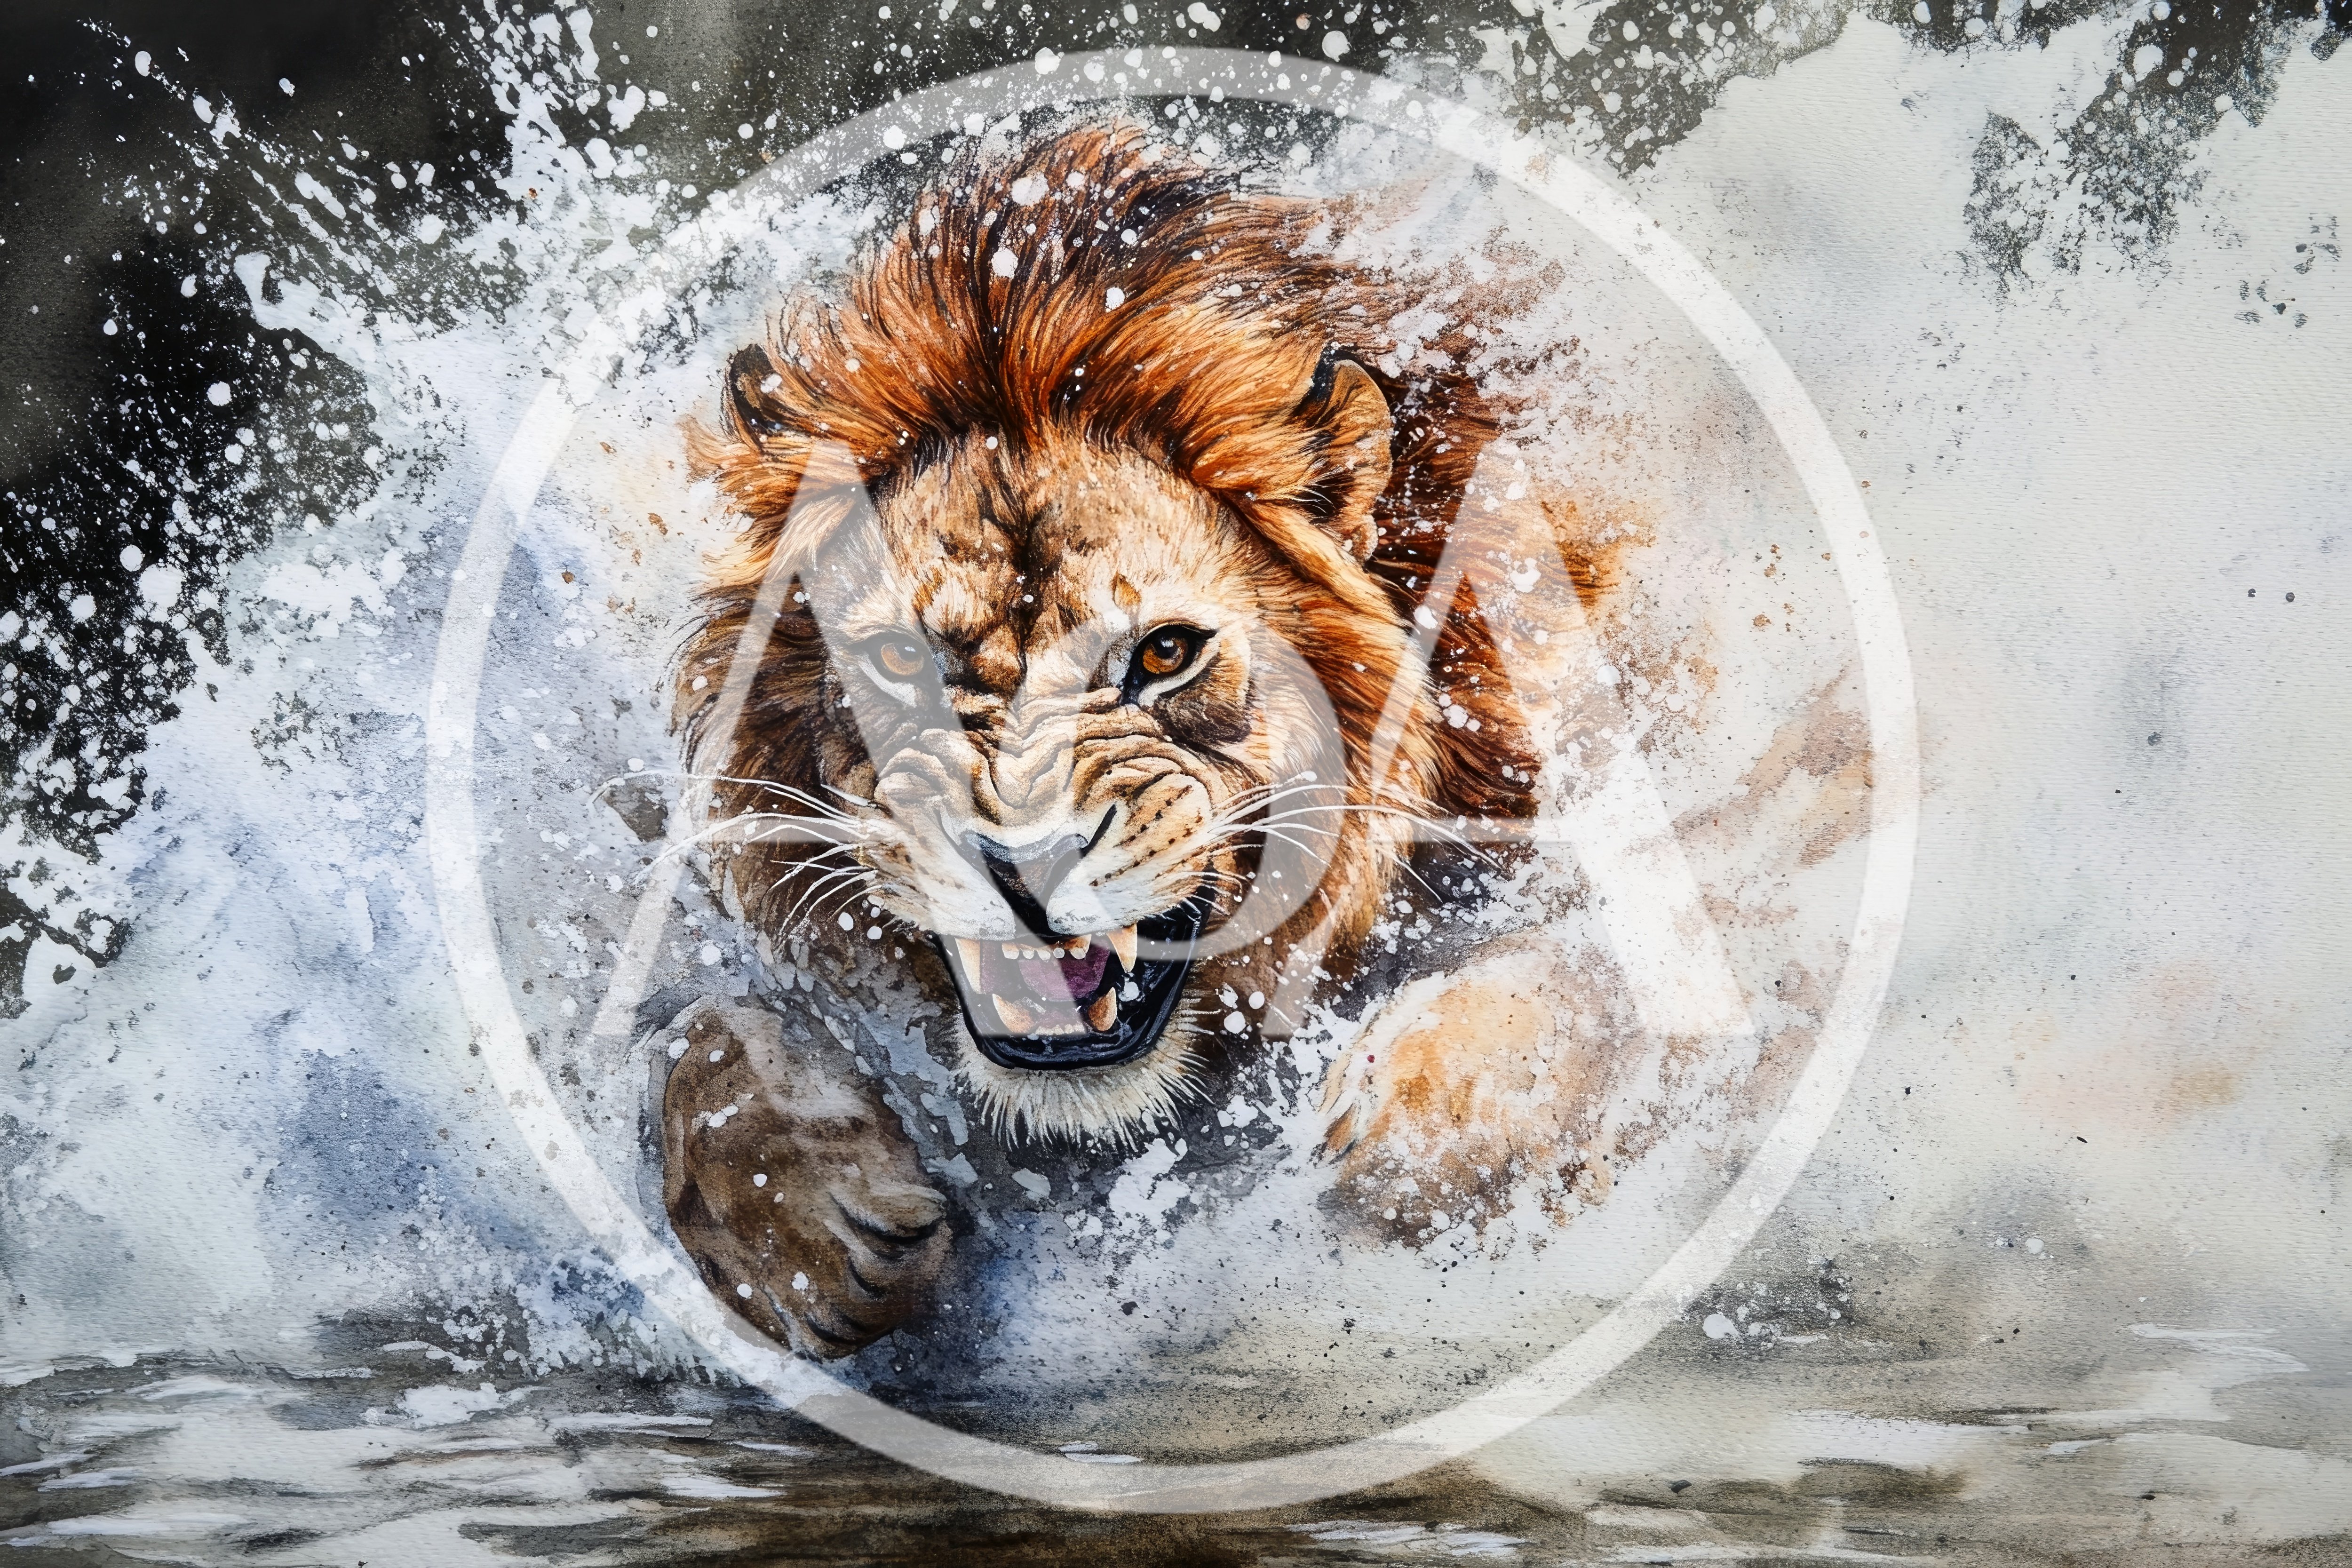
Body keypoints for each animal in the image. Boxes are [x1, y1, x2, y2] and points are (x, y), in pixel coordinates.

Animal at [657, 118, 1634, 1359]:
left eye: (1163, 654)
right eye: (901, 664)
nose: (1022, 866)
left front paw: (1423, 1129)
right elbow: (695, 1024)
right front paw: (797, 1218)